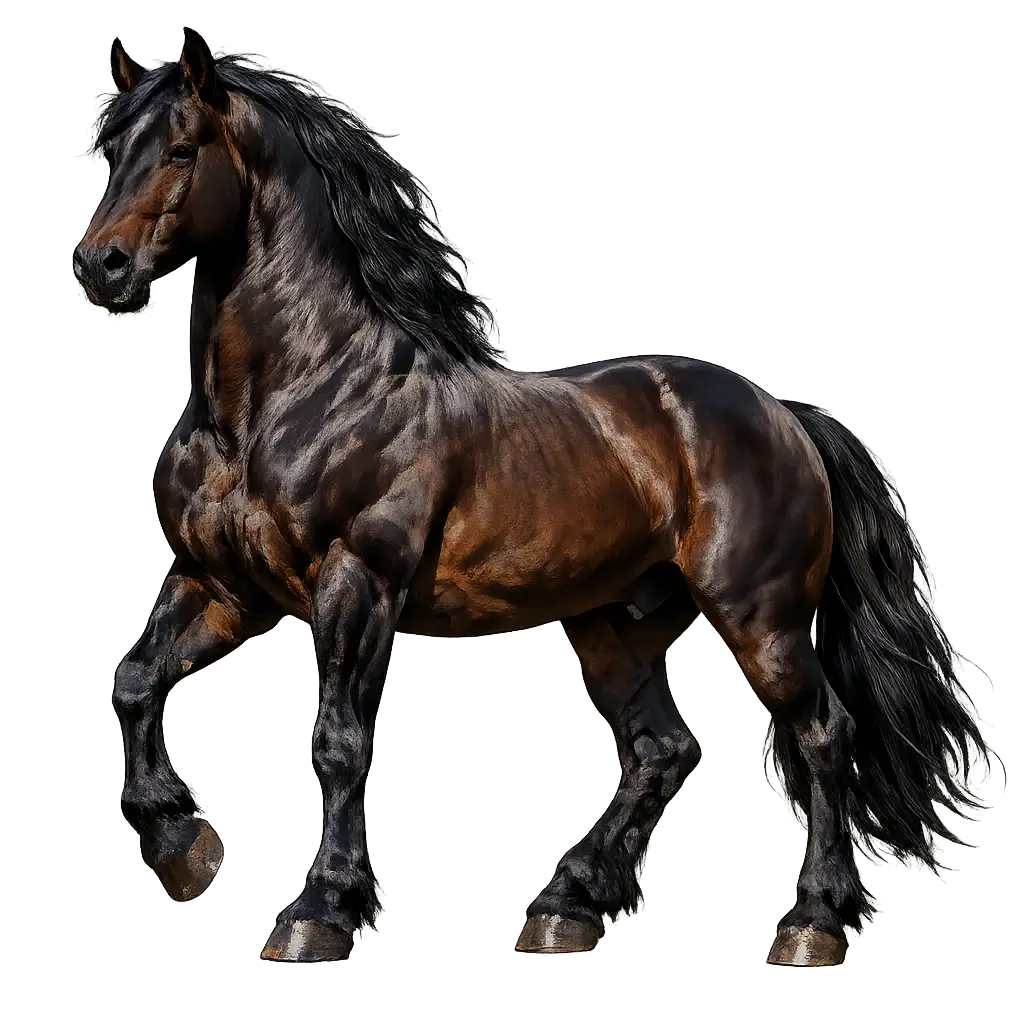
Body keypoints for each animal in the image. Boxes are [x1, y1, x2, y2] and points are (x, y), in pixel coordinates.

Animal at [74, 28, 998, 967]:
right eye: (112, 148)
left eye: (183, 147)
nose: (100, 265)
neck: (284, 400)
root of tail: (783, 414)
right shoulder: (222, 587)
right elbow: (134, 679)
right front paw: (182, 842)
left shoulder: (355, 580)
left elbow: (339, 741)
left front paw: (318, 910)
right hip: (614, 629)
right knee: (663, 750)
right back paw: (567, 903)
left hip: (763, 622)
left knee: (823, 736)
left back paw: (811, 919)